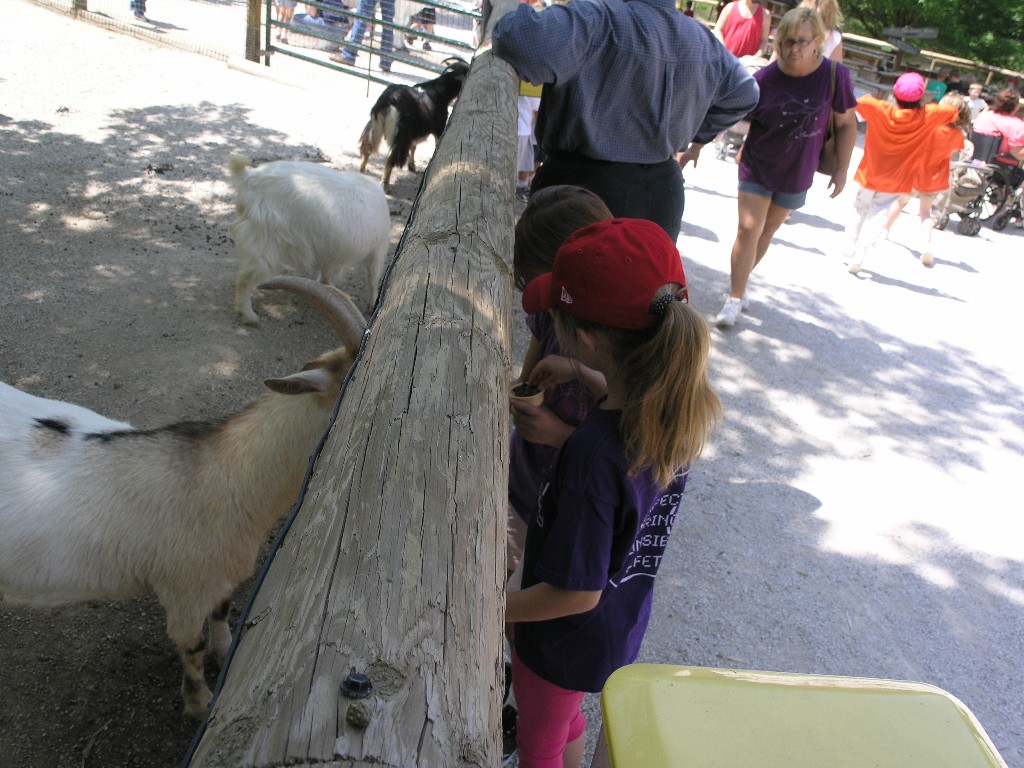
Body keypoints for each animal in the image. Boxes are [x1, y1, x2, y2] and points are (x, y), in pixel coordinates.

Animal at [0, 277, 366, 718]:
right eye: (355, 383)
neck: (220, 476)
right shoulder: (183, 592)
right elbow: (191, 646)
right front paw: (199, 703)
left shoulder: (218, 579)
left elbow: (222, 611)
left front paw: (225, 653)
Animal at [228, 154, 391, 325]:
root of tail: (249, 178)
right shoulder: (379, 246)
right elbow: (373, 277)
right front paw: (372, 303)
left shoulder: (331, 251)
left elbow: (326, 271)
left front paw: (327, 286)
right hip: (266, 245)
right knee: (245, 280)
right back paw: (249, 315)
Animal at [358, 58, 470, 189]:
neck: (440, 93)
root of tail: (388, 100)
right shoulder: (438, 129)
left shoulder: (415, 131)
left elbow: (414, 147)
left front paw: (412, 166)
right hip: (401, 135)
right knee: (391, 159)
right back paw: (385, 183)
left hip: (374, 126)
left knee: (368, 147)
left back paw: (361, 172)